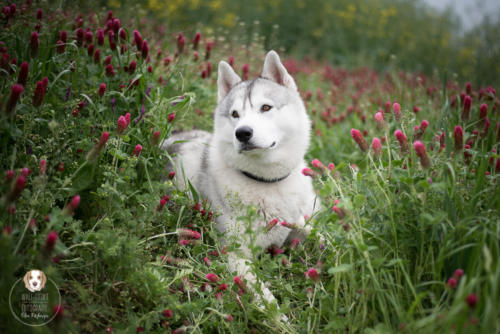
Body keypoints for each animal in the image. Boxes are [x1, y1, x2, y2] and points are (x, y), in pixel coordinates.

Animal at [166, 51, 318, 312]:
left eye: (266, 107)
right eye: (235, 114)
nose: (243, 133)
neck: (266, 182)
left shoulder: (296, 225)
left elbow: (318, 234)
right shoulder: (235, 254)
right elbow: (264, 295)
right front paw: (279, 317)